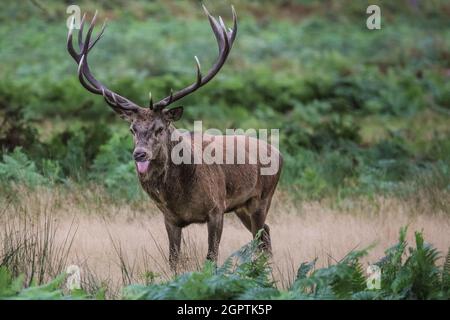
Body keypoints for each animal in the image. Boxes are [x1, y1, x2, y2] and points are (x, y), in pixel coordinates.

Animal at [66, 6, 282, 272]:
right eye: (132, 129)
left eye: (160, 128)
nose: (139, 154)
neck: (179, 195)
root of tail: (279, 153)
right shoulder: (170, 218)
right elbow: (173, 260)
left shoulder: (216, 208)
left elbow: (211, 259)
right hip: (242, 206)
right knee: (265, 234)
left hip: (262, 198)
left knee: (263, 237)